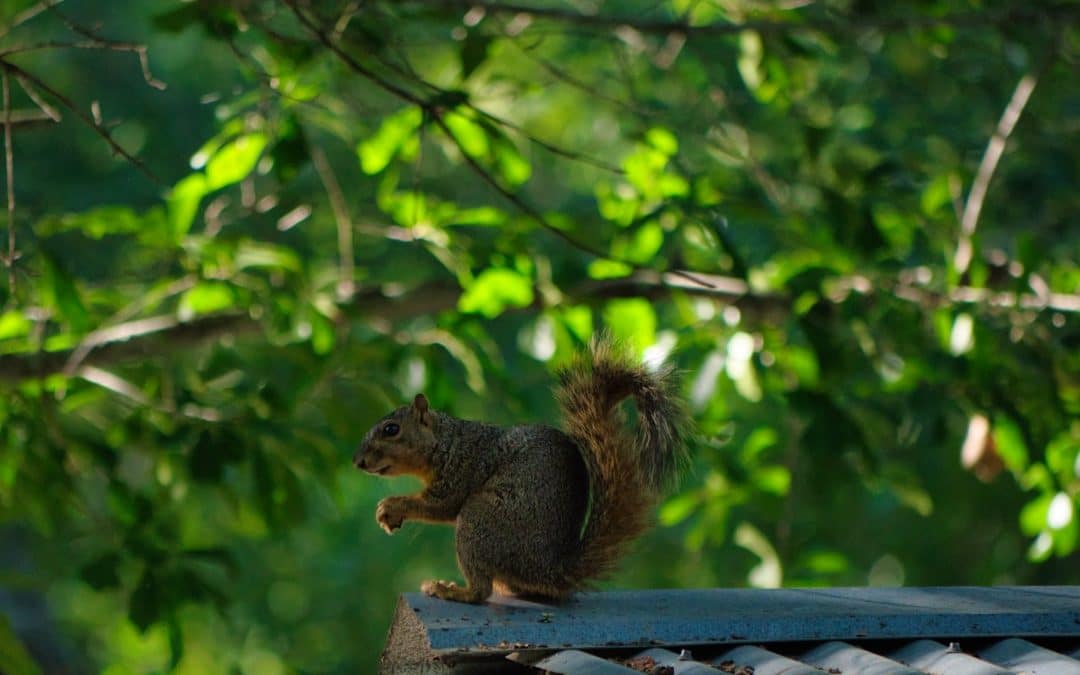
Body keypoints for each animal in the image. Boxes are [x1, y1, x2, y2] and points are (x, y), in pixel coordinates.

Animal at [353, 337, 689, 604]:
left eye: (391, 429)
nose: (358, 461)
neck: (447, 442)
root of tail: (551, 569)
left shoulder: (464, 468)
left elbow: (441, 505)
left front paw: (391, 507)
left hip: (480, 519)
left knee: (482, 590)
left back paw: (452, 590)